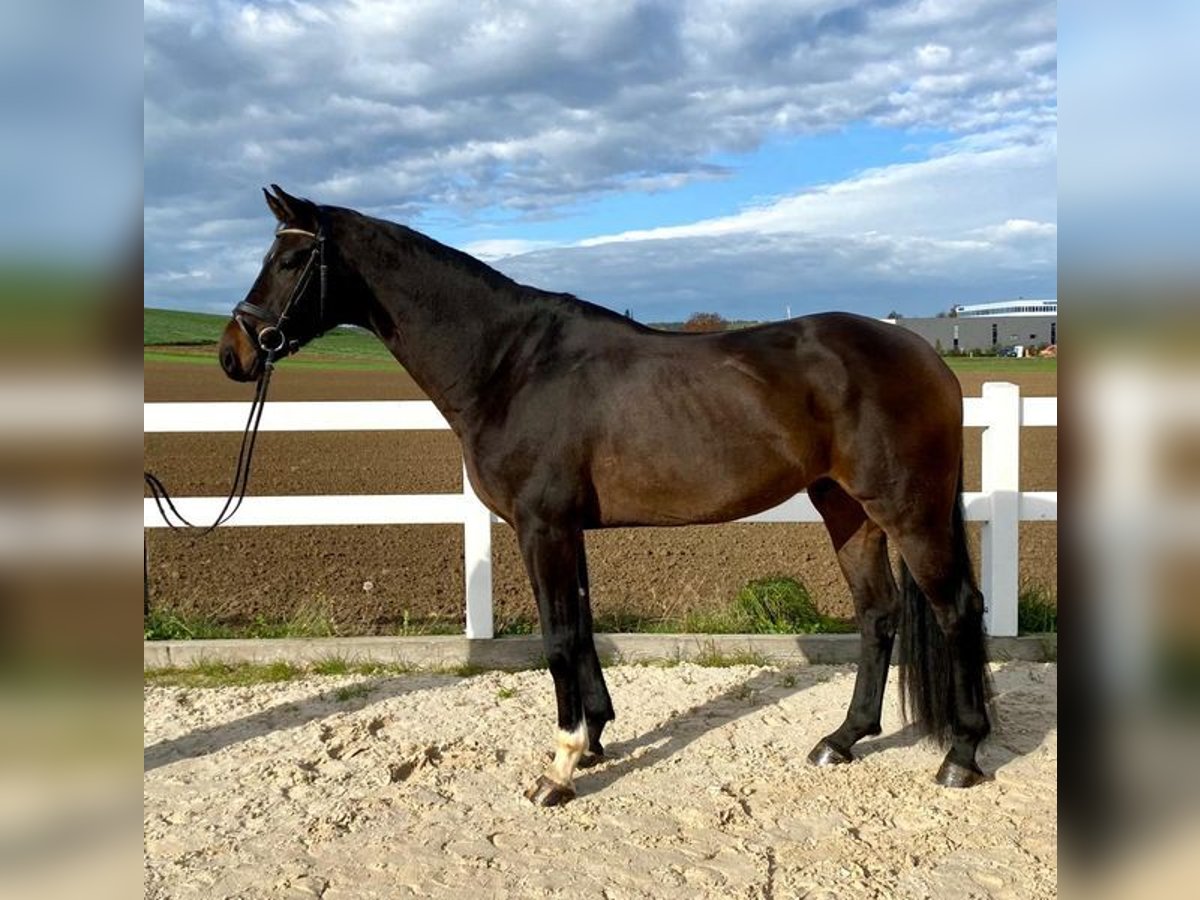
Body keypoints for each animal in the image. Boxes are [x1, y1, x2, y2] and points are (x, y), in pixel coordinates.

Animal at [218, 185, 993, 806]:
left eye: (288, 261)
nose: (235, 352)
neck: (511, 364)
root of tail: (927, 354)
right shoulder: (566, 530)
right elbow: (582, 628)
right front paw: (593, 740)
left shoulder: (542, 527)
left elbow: (559, 635)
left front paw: (559, 769)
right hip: (846, 508)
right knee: (879, 614)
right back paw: (843, 738)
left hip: (908, 510)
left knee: (957, 608)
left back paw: (961, 755)